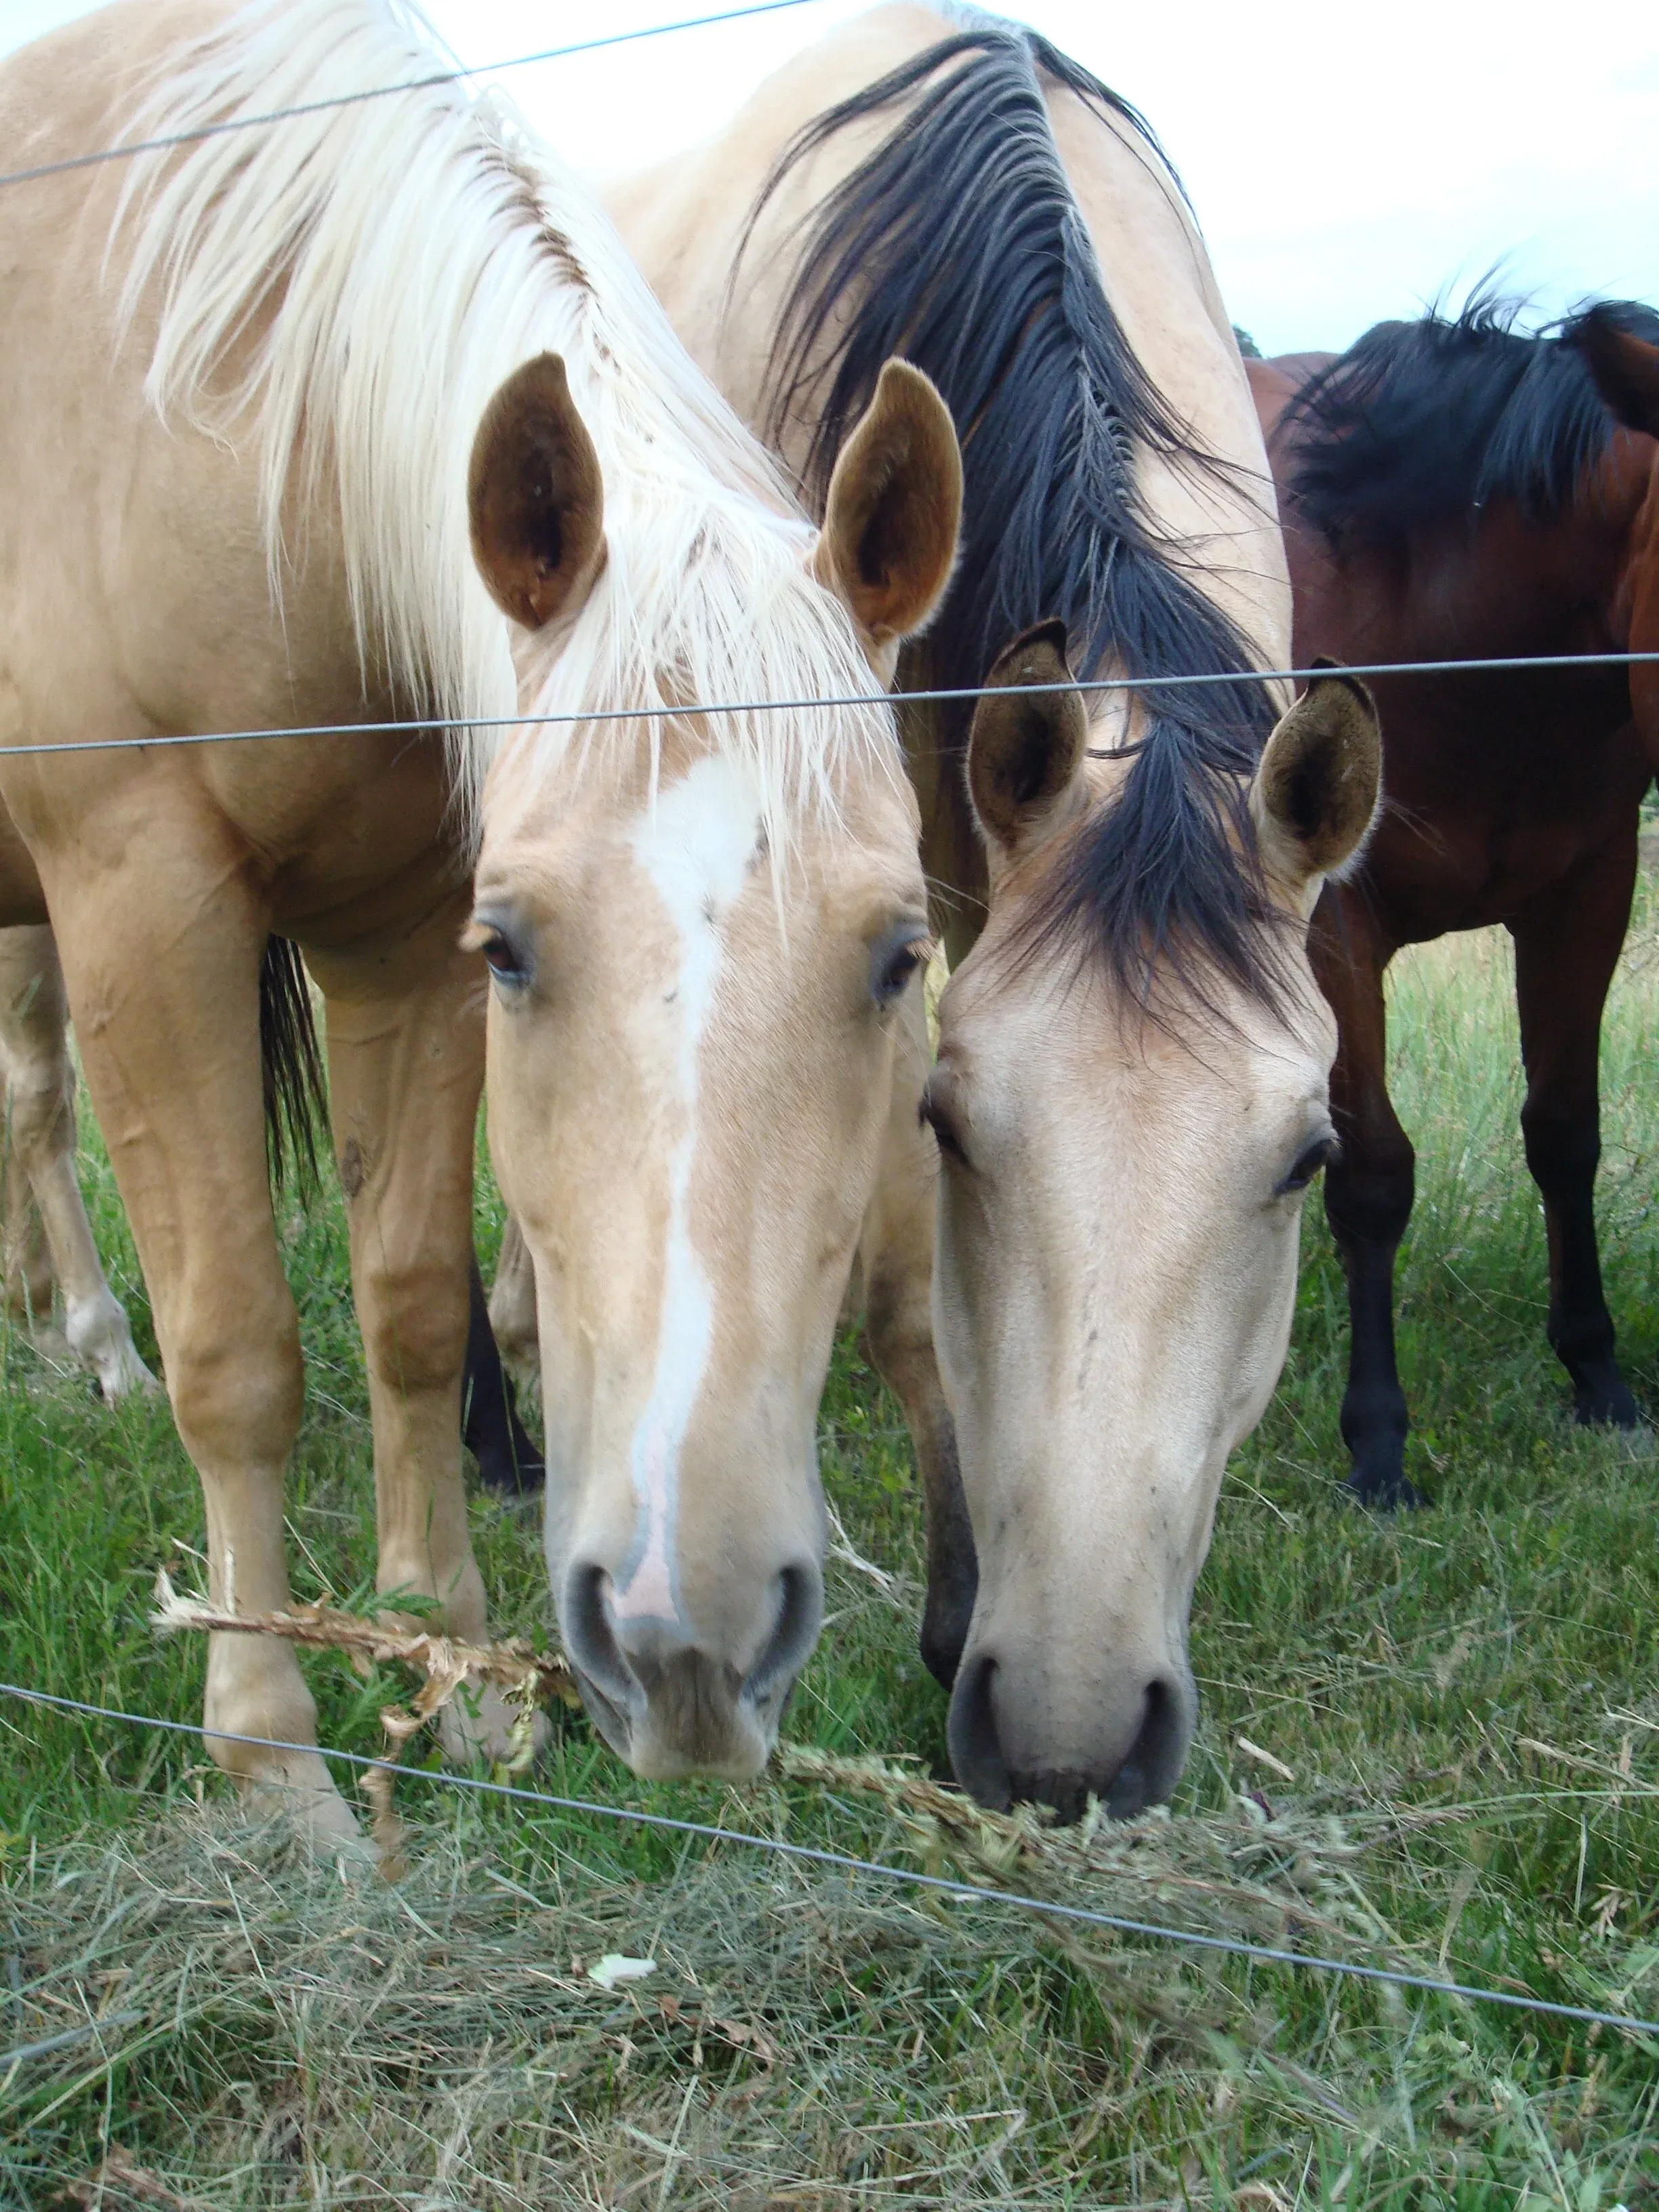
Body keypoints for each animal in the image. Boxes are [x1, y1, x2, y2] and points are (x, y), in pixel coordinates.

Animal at [0, 0, 959, 1841]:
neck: (250, 416)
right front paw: (270, 1742)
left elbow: (412, 1302)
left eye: (899, 955)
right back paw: (90, 1338)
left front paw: (446, 1659)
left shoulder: (394, 933)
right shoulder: (144, 901)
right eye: (519, 948)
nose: (686, 1640)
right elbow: (238, 1343)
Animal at [1251, 300, 1659, 1507]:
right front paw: (1378, 1443)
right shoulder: (1335, 925)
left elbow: (1566, 1132)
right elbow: (1375, 1176)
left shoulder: (1587, 894)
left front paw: (1598, 1378)